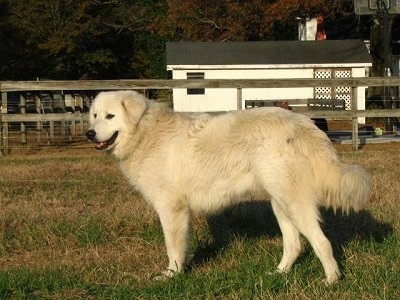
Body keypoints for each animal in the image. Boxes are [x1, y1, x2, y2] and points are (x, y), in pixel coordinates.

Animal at [86, 90, 370, 282]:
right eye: (94, 116)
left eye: (110, 116)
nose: (89, 133)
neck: (146, 134)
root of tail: (303, 124)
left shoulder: (171, 209)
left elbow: (172, 247)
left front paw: (172, 276)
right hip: (280, 204)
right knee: (295, 245)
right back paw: (278, 273)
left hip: (294, 204)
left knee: (322, 242)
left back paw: (331, 281)